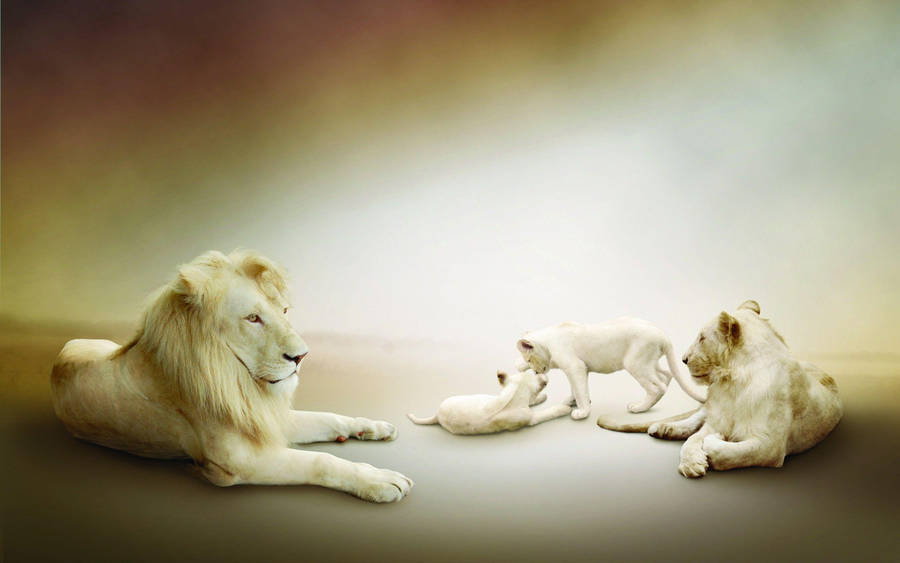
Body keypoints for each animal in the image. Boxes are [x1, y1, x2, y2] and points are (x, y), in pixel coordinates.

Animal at [50, 250, 412, 502]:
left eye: (283, 311)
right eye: (253, 318)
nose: (302, 356)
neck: (239, 381)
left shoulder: (263, 418)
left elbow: (327, 416)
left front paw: (372, 427)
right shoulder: (239, 460)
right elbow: (320, 461)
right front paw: (380, 480)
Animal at [407, 369, 571, 434]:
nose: (540, 371)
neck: (513, 395)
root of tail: (437, 415)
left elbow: (532, 400)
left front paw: (541, 398)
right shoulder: (530, 418)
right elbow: (548, 412)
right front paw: (564, 408)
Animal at [516, 318, 707, 420]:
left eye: (529, 359)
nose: (536, 372)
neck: (549, 342)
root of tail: (663, 335)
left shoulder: (575, 366)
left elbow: (579, 390)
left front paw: (582, 412)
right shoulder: (580, 368)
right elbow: (576, 388)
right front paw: (572, 401)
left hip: (635, 364)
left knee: (657, 387)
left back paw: (639, 408)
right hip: (649, 363)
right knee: (666, 375)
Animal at [596, 300, 842, 478]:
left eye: (702, 338)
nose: (684, 359)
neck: (732, 383)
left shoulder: (771, 445)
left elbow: (732, 452)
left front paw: (713, 443)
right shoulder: (718, 417)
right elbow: (692, 440)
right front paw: (692, 464)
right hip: (707, 408)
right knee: (696, 419)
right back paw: (663, 428)